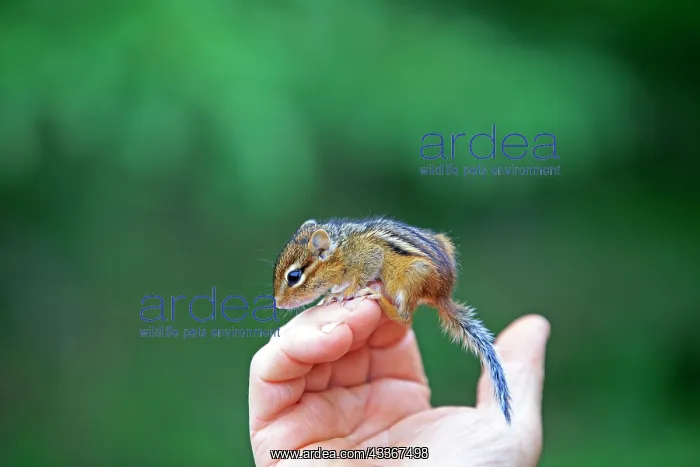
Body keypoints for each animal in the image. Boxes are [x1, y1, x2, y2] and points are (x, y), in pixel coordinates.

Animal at [272, 216, 512, 424]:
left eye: (293, 276)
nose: (278, 303)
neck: (340, 250)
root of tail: (442, 295)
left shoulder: (368, 257)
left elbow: (360, 277)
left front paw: (343, 293)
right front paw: (331, 294)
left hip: (411, 277)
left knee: (404, 316)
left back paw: (378, 297)